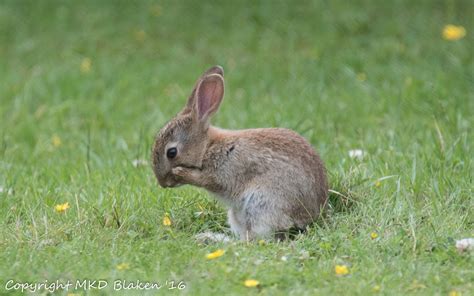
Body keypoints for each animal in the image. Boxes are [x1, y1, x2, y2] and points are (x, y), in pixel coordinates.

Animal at [150, 65, 328, 240]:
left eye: (171, 152)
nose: (163, 183)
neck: (207, 147)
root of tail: (312, 216)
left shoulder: (223, 172)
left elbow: (205, 180)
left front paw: (180, 172)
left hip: (262, 205)